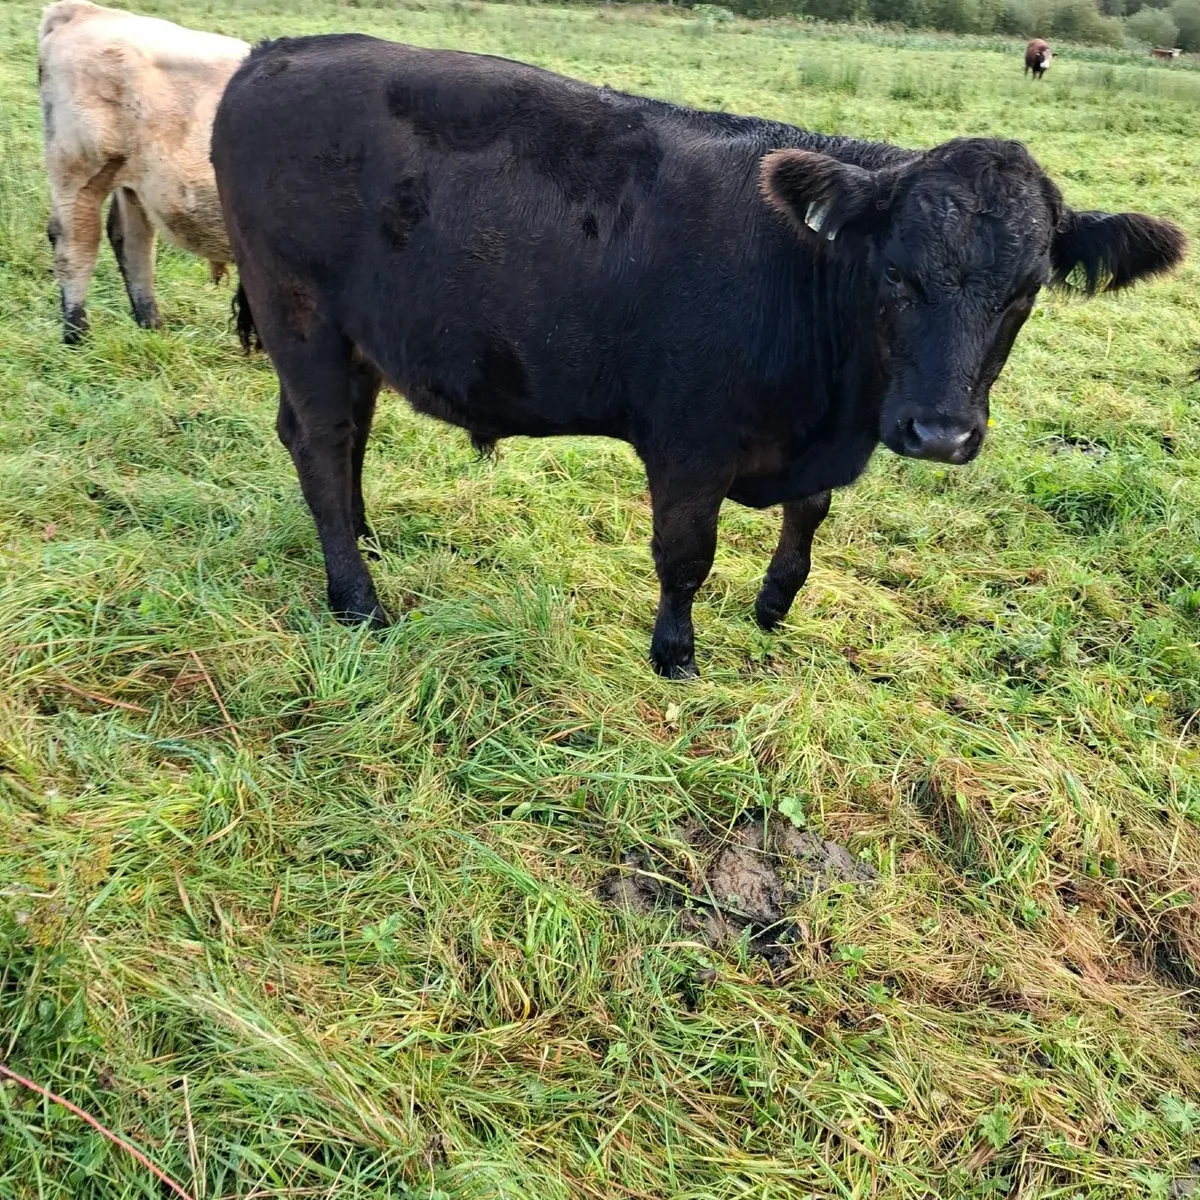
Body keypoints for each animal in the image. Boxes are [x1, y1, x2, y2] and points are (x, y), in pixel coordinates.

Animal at [38, 1, 248, 343]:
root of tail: (87, 10)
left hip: (134, 180)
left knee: (132, 242)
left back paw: (152, 330)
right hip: (78, 169)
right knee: (76, 242)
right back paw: (77, 337)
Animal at [211, 36, 1186, 679]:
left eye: (1026, 291)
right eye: (896, 272)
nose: (940, 433)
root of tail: (279, 51)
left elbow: (810, 515)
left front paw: (774, 604)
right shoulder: (688, 443)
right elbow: (686, 555)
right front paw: (675, 653)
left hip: (357, 337)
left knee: (347, 432)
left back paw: (369, 538)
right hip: (300, 315)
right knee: (321, 442)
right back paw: (358, 598)